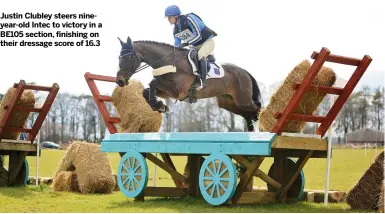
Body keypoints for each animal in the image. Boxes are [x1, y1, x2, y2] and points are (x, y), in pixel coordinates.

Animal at [116, 36, 260, 131]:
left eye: (129, 57)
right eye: (119, 57)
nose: (120, 81)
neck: (169, 62)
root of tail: (244, 71)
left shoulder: (177, 91)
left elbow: (153, 83)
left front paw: (159, 105)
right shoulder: (167, 92)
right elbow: (146, 90)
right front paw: (159, 106)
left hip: (243, 100)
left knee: (257, 110)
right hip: (229, 103)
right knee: (248, 115)